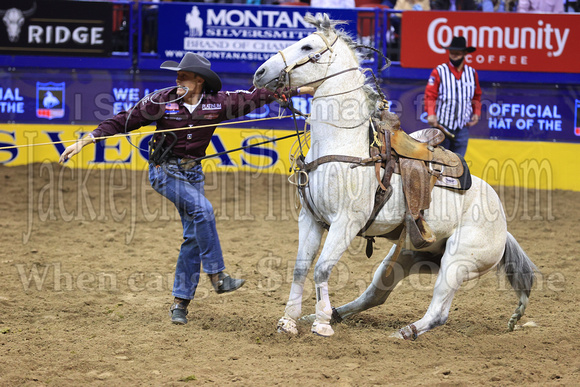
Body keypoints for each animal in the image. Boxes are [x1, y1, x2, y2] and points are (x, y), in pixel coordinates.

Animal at [251, 14, 536, 340]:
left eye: (308, 46)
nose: (260, 72)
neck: (342, 144)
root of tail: (504, 227)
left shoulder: (346, 222)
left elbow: (322, 267)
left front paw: (321, 325)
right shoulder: (311, 219)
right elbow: (300, 267)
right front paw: (289, 321)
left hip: (457, 261)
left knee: (439, 311)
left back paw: (404, 331)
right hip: (408, 255)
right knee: (376, 294)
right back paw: (334, 314)